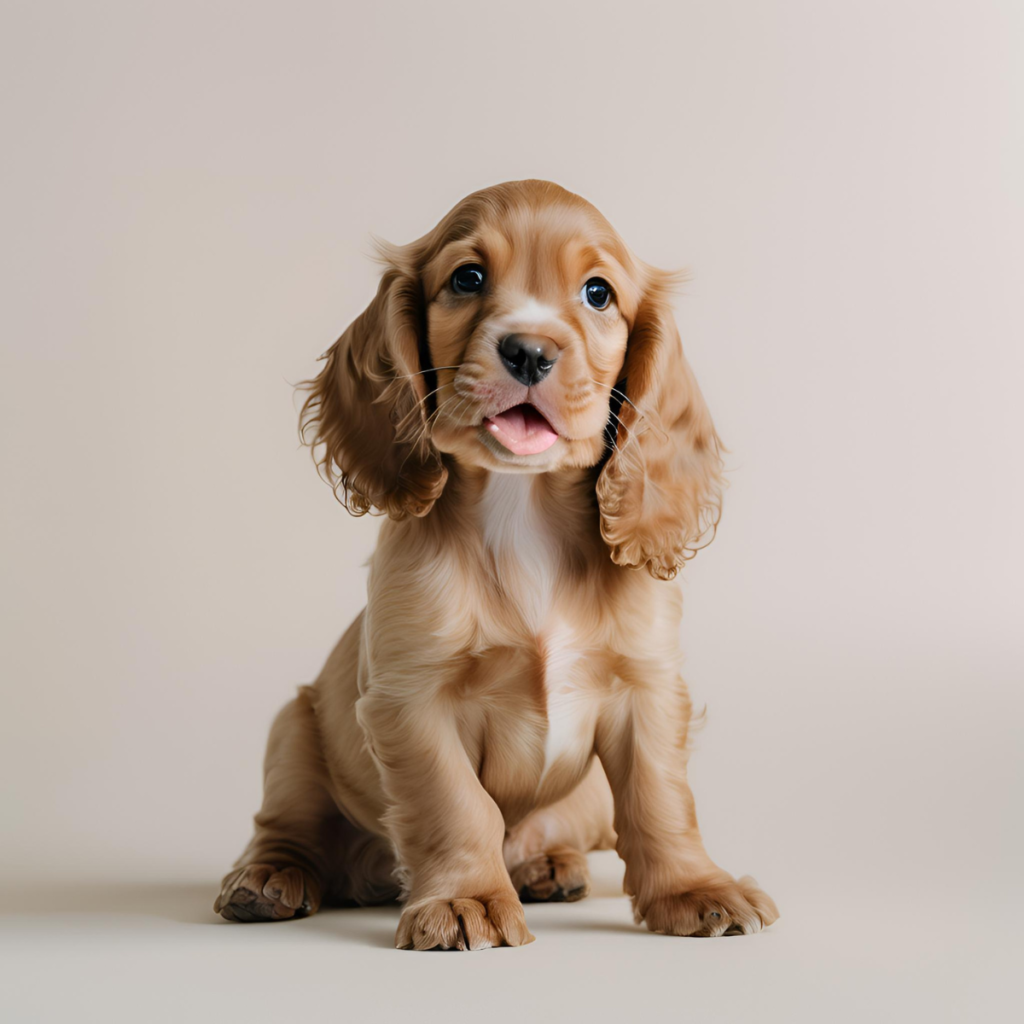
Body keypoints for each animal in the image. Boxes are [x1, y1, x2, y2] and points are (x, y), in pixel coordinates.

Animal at [214, 180, 774, 946]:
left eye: (598, 293)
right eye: (468, 278)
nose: (530, 351)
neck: (523, 510)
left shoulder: (649, 688)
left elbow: (661, 798)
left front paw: (696, 890)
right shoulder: (411, 698)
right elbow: (455, 803)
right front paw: (464, 902)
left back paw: (546, 866)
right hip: (294, 728)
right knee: (286, 828)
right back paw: (267, 880)